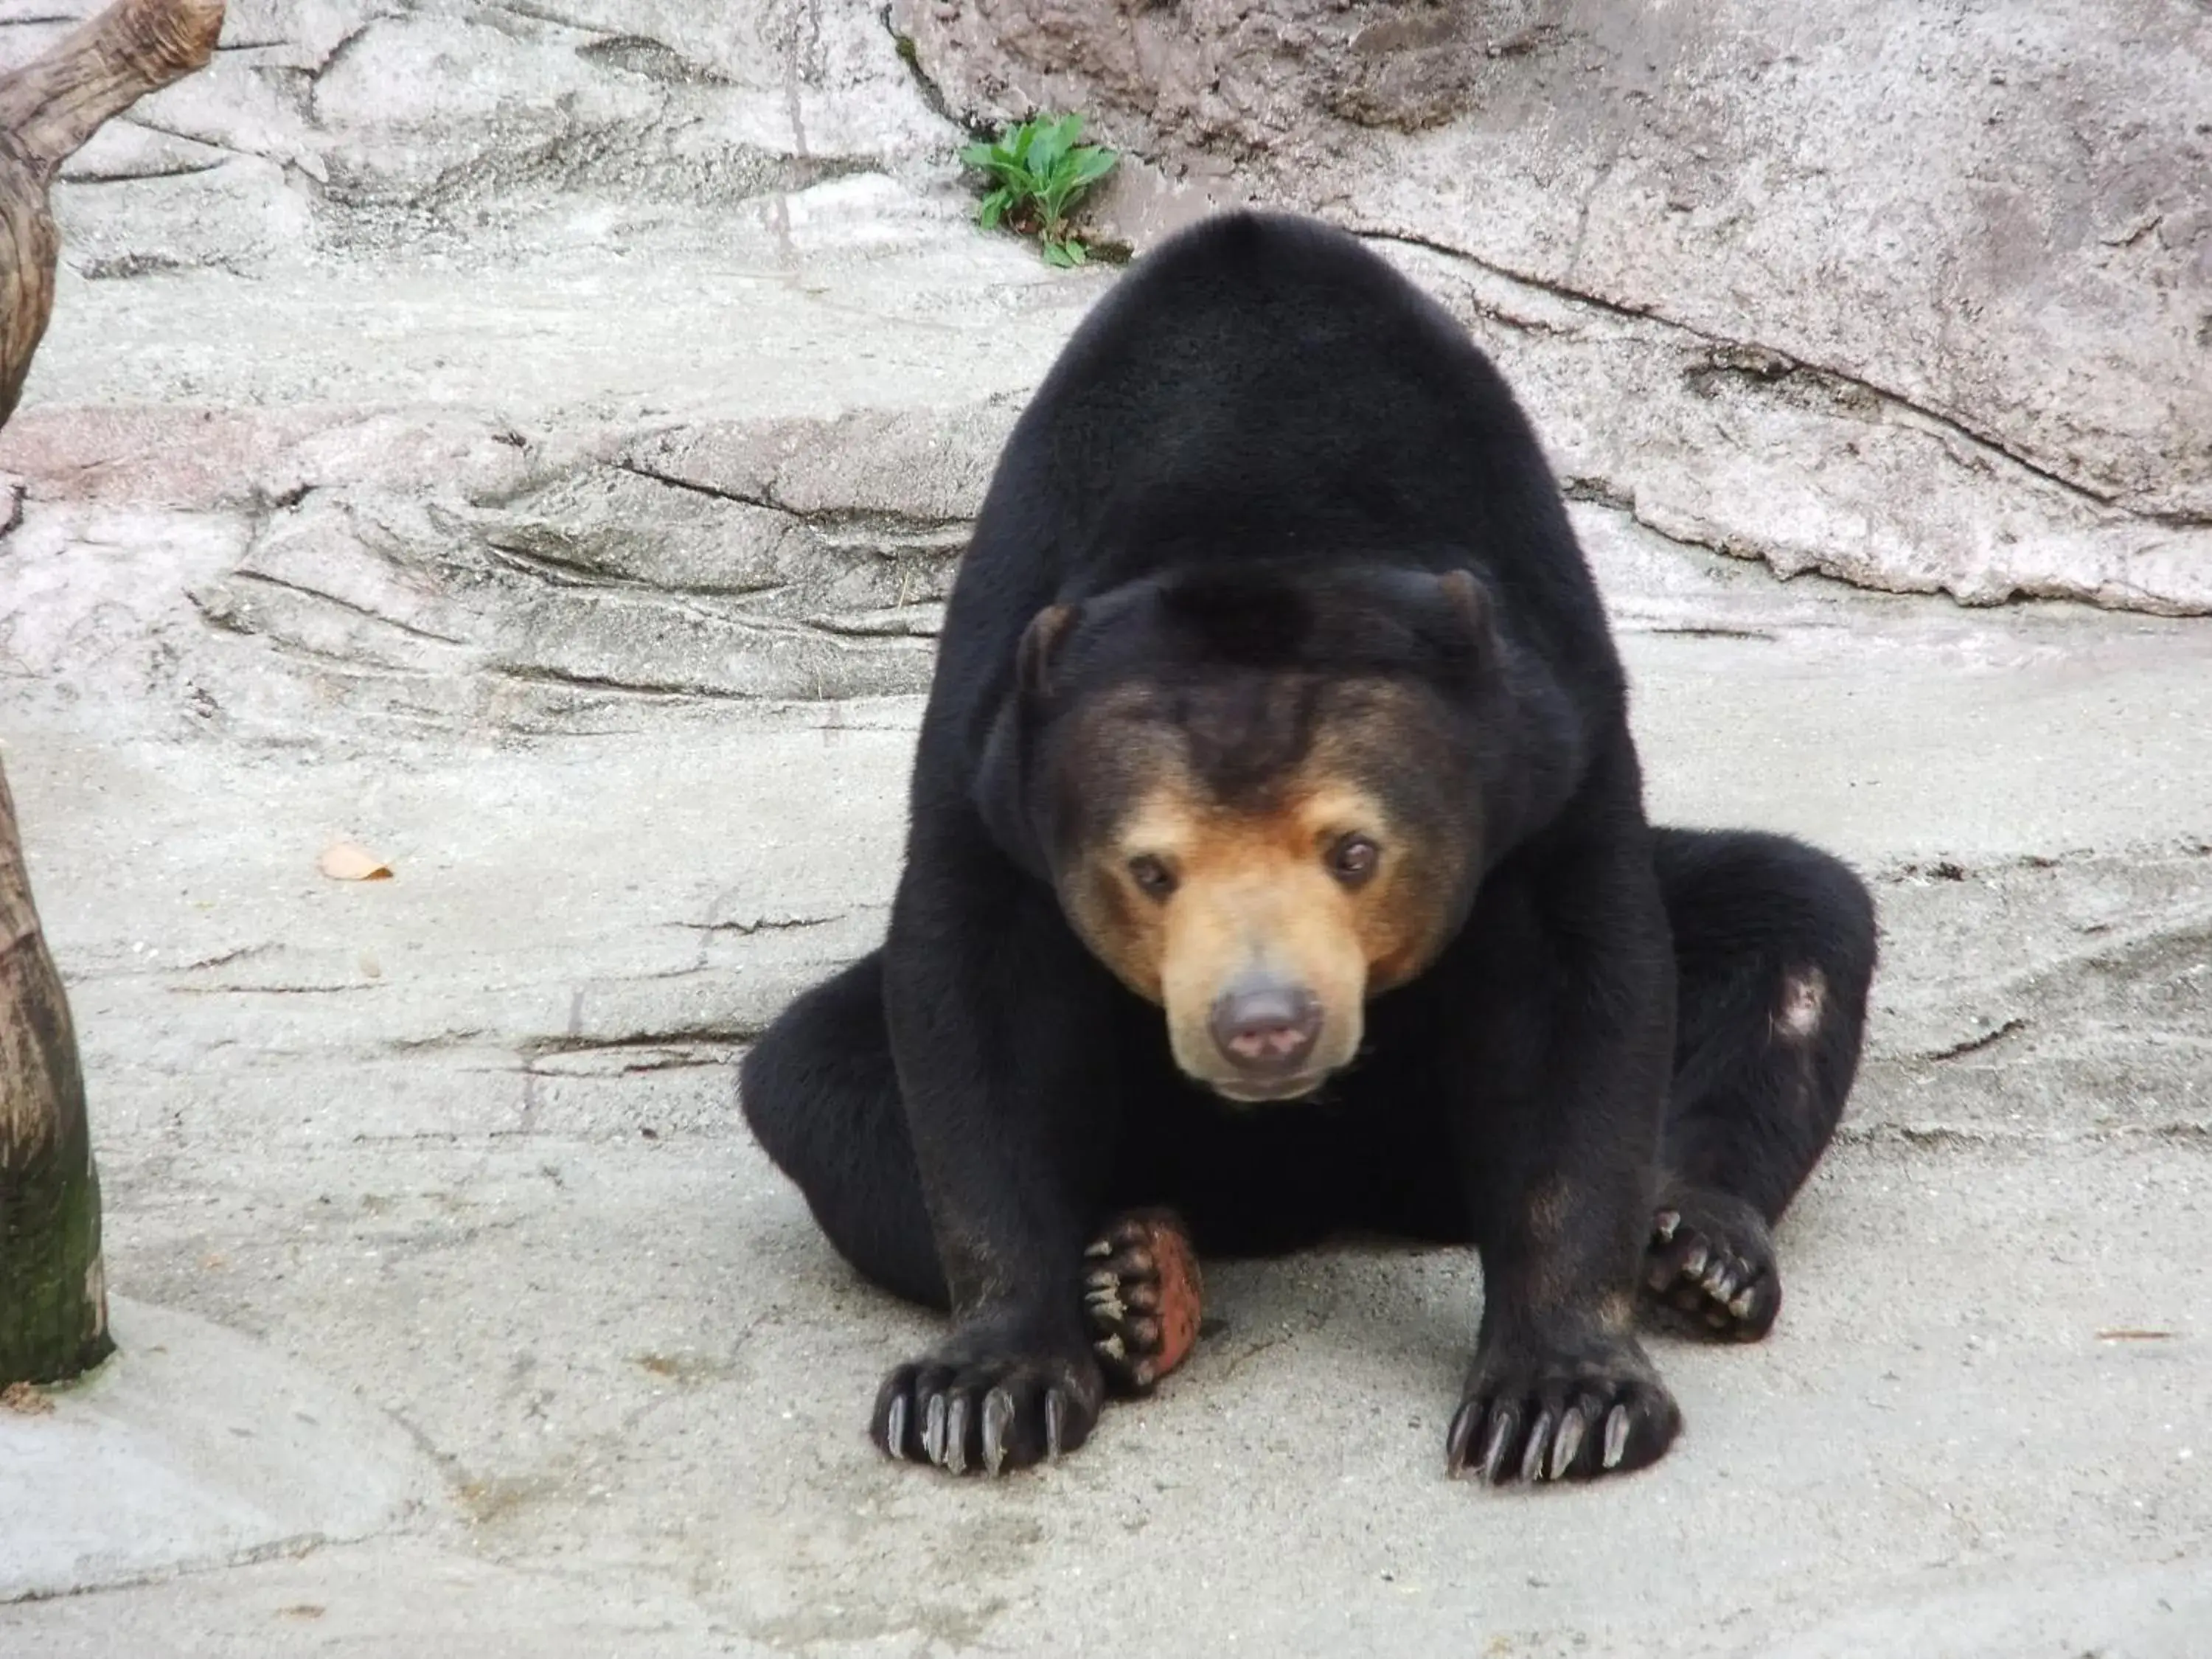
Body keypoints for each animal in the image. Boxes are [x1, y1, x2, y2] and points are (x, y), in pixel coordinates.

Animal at [734, 211, 1876, 1495]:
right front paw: (978, 1392)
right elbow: (972, 1006)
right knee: (814, 1079)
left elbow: (1581, 992)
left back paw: (1702, 1253)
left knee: (1799, 918)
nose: (1265, 1027)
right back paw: (1135, 1281)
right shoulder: (989, 735)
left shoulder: (1552, 724)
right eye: (1151, 869)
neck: (1257, 490)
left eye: (1355, 849)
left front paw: (1562, 1404)